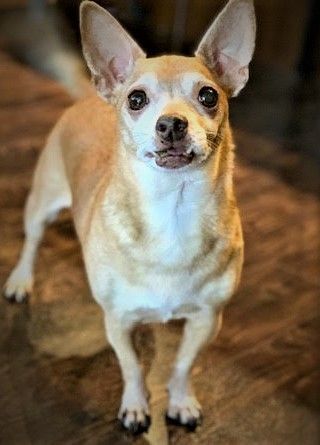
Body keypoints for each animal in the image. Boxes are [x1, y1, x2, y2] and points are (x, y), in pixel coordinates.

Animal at [3, 0, 256, 436]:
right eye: (136, 100)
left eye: (208, 95)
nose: (171, 123)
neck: (173, 210)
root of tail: (91, 95)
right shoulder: (117, 321)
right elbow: (133, 367)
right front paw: (136, 406)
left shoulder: (207, 319)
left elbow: (183, 364)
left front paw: (181, 400)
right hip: (42, 203)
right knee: (32, 242)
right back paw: (21, 280)